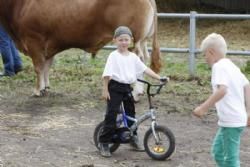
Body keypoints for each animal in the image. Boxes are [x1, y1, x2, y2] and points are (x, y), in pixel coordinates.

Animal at [0, 0, 160, 96]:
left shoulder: (34, 40)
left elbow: (39, 68)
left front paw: (37, 90)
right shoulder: (49, 45)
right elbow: (46, 67)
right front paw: (45, 87)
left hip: (133, 39)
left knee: (138, 59)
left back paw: (136, 93)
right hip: (143, 40)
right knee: (144, 58)